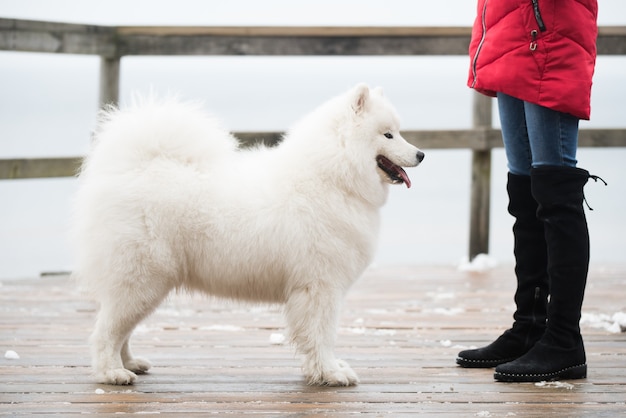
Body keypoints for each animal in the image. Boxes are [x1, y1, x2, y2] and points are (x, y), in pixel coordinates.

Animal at [73, 83, 424, 386]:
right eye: (388, 134)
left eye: (398, 132)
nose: (421, 154)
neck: (331, 177)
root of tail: (132, 169)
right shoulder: (320, 288)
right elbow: (322, 335)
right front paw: (330, 373)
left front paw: (327, 369)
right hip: (143, 281)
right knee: (106, 332)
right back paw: (111, 373)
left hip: (144, 285)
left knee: (121, 330)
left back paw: (130, 363)